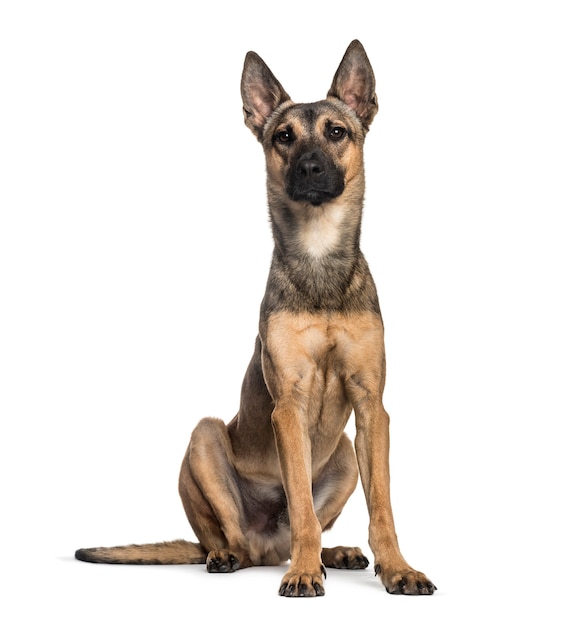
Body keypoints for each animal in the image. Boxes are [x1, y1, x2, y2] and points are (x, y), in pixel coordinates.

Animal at [76, 37, 436, 596]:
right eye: (284, 137)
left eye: (337, 131)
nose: (309, 168)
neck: (318, 260)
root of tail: (266, 542)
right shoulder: (287, 405)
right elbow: (303, 506)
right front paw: (305, 574)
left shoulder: (372, 407)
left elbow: (382, 508)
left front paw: (397, 568)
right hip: (204, 438)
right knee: (241, 540)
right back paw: (238, 556)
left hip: (345, 454)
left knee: (298, 531)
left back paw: (333, 553)